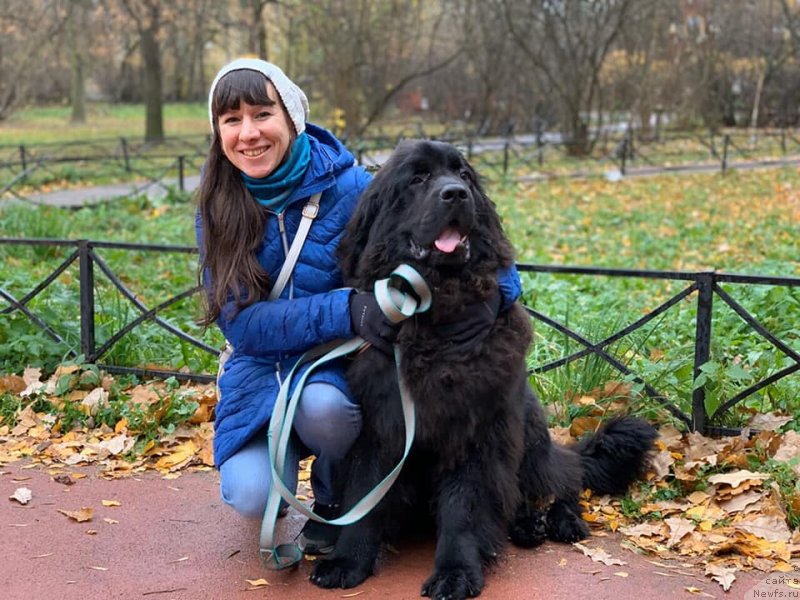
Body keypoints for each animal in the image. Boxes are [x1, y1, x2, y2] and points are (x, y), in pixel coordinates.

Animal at [310, 139, 652, 596]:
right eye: (418, 178)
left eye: (464, 175)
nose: (456, 194)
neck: (434, 317)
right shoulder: (378, 427)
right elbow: (364, 497)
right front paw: (347, 560)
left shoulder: (477, 429)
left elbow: (465, 508)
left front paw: (455, 572)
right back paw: (527, 526)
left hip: (531, 436)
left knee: (566, 476)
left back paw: (562, 521)